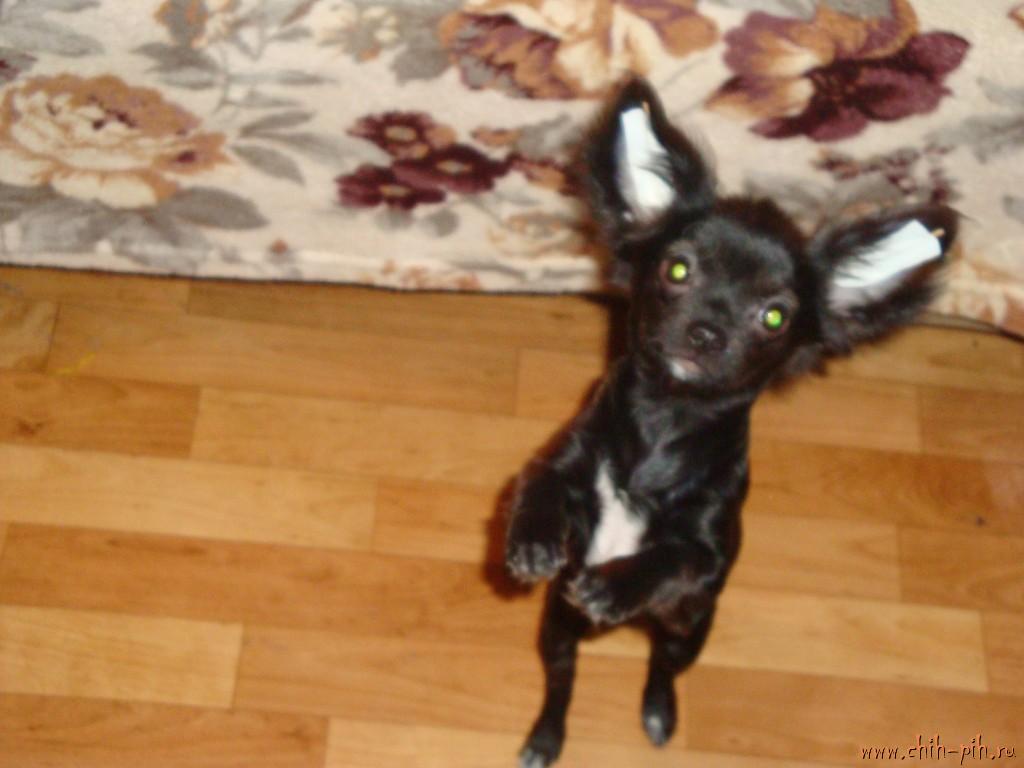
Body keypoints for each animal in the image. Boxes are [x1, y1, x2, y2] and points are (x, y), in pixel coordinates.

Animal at [504, 77, 957, 768]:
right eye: (678, 270)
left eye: (774, 317)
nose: (707, 332)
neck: (666, 420)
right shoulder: (569, 456)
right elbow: (540, 479)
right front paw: (532, 537)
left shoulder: (709, 549)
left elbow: (676, 554)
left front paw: (619, 580)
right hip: (558, 629)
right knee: (562, 684)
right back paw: (545, 737)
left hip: (687, 633)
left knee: (661, 670)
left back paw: (657, 711)